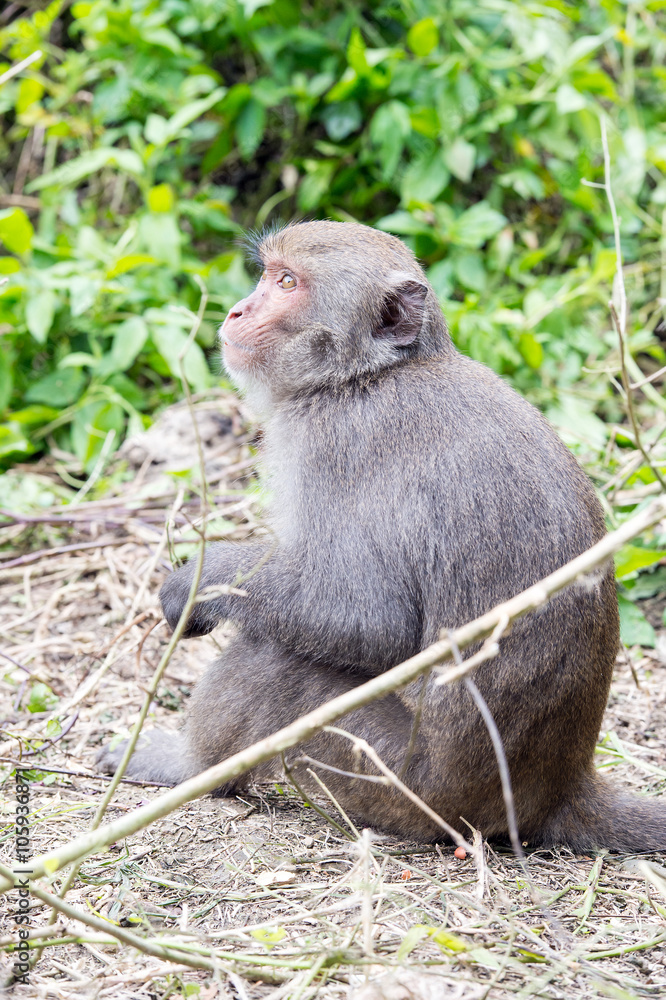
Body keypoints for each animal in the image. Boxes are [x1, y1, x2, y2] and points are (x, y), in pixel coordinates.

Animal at [97, 219, 664, 852]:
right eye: (268, 275)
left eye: (287, 283)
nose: (238, 311)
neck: (367, 375)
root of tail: (560, 787)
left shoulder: (337, 442)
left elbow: (366, 616)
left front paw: (196, 584)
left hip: (405, 782)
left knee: (278, 662)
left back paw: (190, 767)